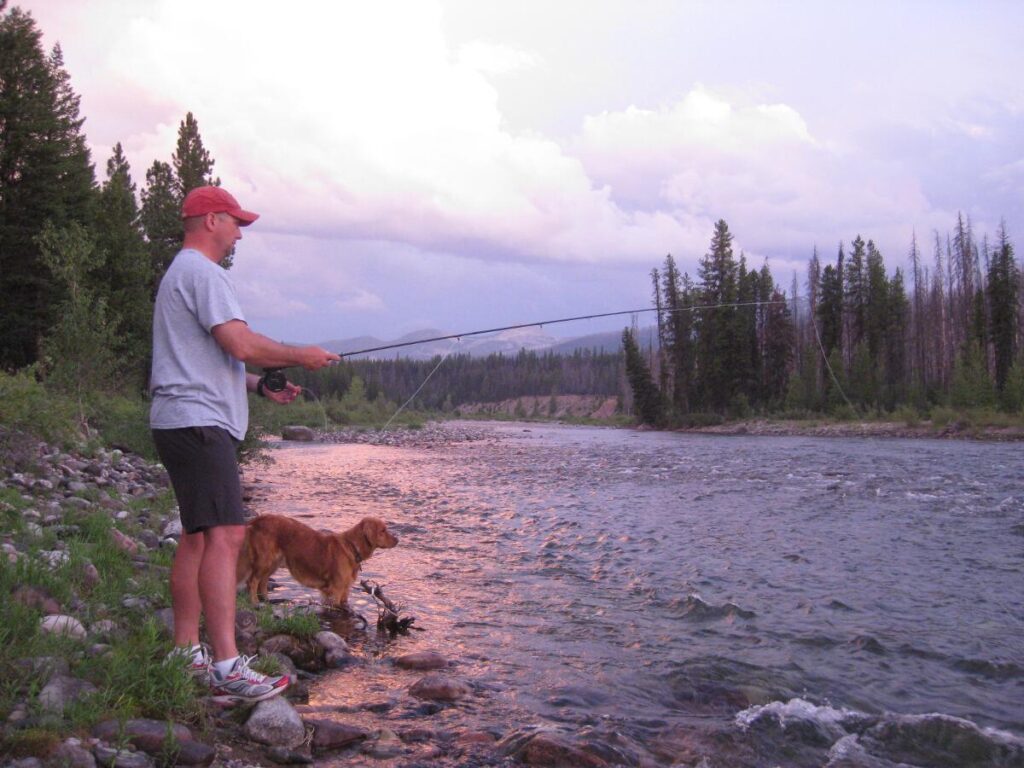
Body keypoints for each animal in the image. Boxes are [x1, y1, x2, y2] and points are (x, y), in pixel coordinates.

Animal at [237, 518, 397, 606]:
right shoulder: (336, 589)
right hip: (264, 560)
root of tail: (256, 520)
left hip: (273, 563)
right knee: (252, 581)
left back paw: (267, 600)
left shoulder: (345, 590)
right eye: (383, 530)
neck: (353, 546)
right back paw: (255, 602)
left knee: (263, 582)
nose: (397, 539)